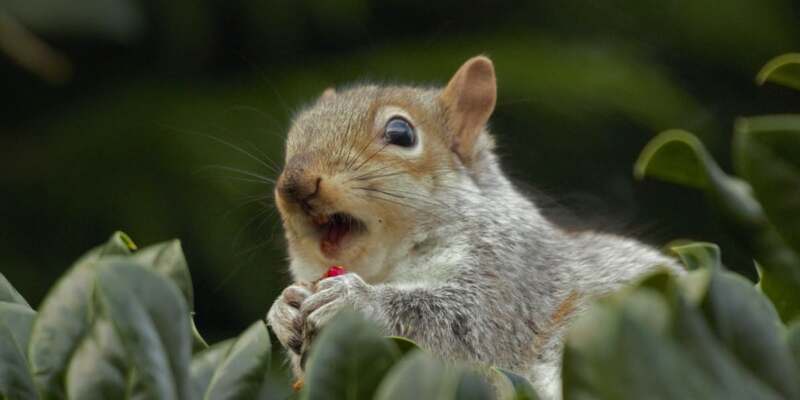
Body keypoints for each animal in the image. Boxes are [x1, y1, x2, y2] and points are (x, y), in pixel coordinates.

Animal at [266, 54, 680, 398]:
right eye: (293, 138)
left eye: (401, 133)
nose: (294, 184)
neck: (389, 266)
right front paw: (283, 310)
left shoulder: (512, 277)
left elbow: (465, 327)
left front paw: (356, 299)